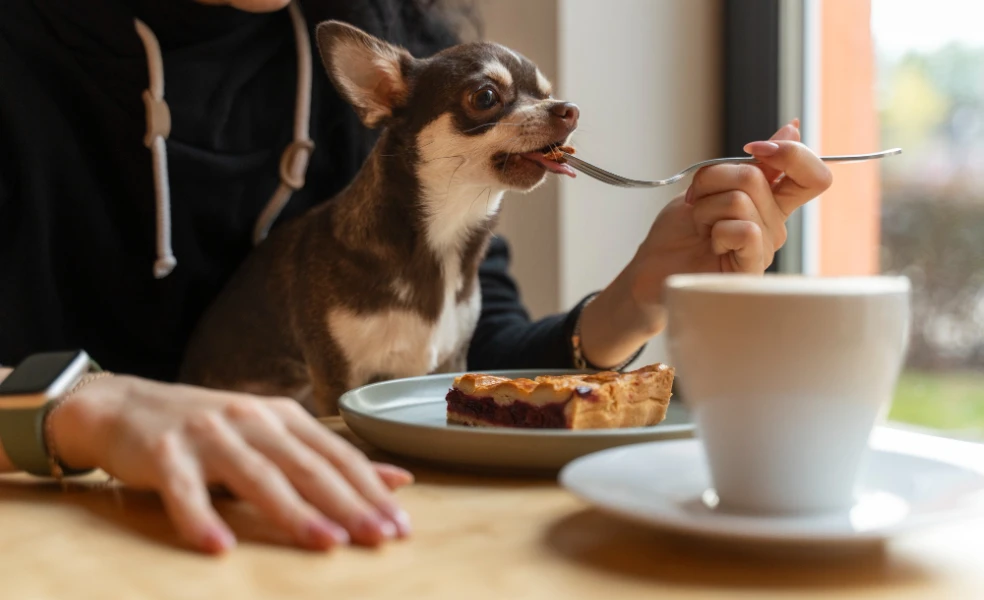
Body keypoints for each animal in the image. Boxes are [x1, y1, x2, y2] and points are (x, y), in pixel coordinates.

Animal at [179, 21, 576, 414]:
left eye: (546, 93)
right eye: (485, 97)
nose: (568, 109)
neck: (442, 239)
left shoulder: (451, 360)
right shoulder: (336, 376)